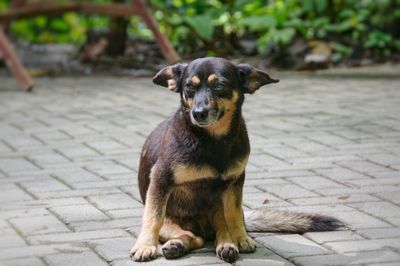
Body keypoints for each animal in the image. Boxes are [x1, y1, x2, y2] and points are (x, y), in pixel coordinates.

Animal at [130, 56, 342, 262]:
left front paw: (240, 238)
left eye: (219, 85)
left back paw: (227, 244)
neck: (213, 140)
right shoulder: (160, 180)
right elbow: (154, 217)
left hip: (217, 208)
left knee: (218, 230)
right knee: (194, 237)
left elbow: (233, 215)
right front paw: (145, 246)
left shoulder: (235, 183)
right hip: (173, 223)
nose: (198, 113)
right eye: (189, 87)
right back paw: (177, 245)